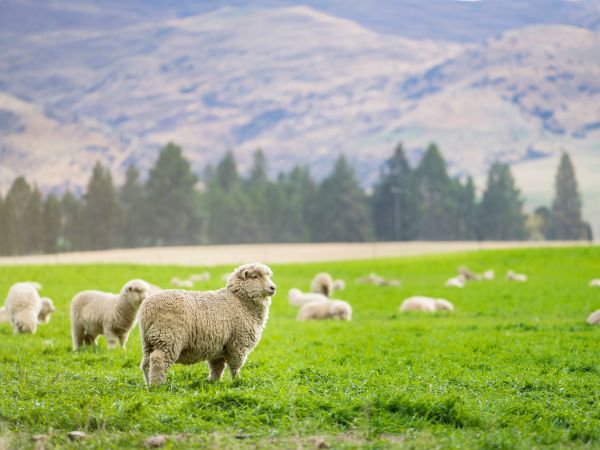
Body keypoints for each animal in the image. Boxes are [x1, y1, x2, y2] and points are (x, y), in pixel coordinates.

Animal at [138, 262, 276, 384]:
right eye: (255, 276)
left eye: (268, 276)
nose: (273, 288)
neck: (240, 301)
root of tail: (146, 308)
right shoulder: (238, 344)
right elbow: (235, 366)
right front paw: (237, 381)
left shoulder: (219, 347)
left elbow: (217, 368)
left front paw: (214, 383)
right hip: (168, 337)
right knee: (158, 360)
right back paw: (157, 386)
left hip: (149, 340)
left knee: (146, 363)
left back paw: (148, 383)